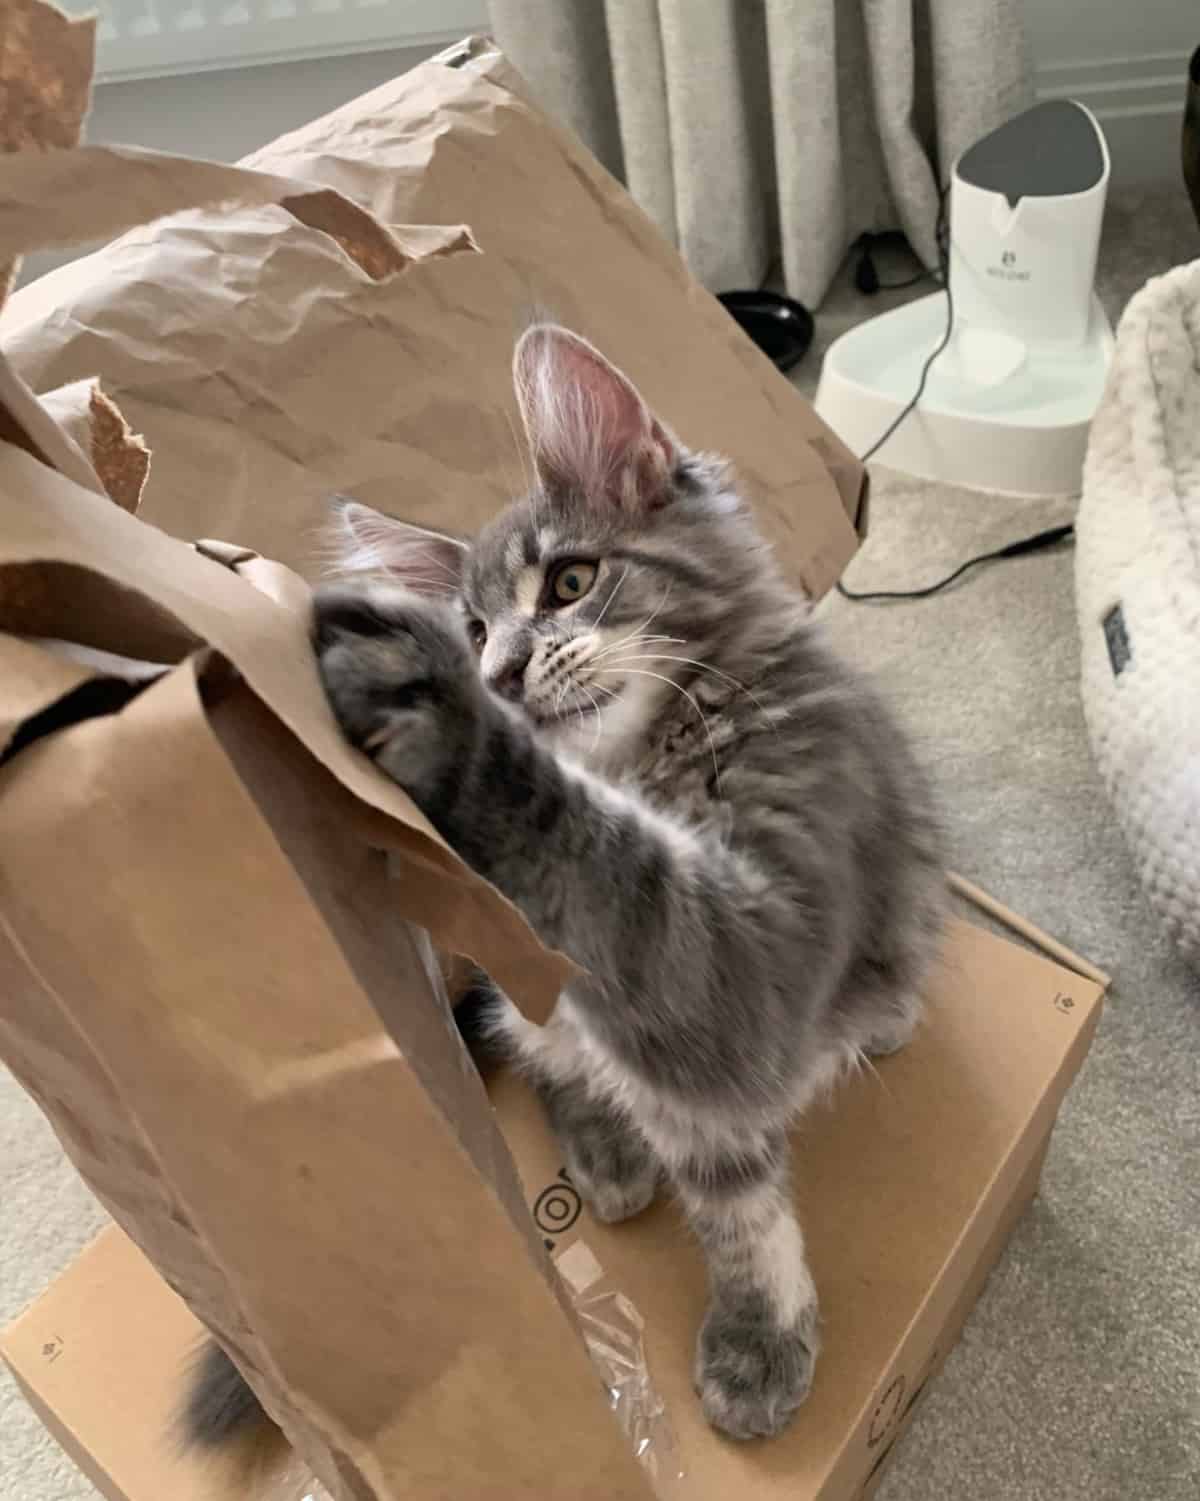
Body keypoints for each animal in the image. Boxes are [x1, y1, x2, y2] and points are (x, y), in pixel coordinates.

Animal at [183, 322, 943, 1446]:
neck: (646, 764)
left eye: (572, 581)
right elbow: (730, 1195)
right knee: (534, 1041)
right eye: (473, 631)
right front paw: (759, 1327)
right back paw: (603, 1143)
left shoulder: (755, 960)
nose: (496, 676)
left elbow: (609, 874)